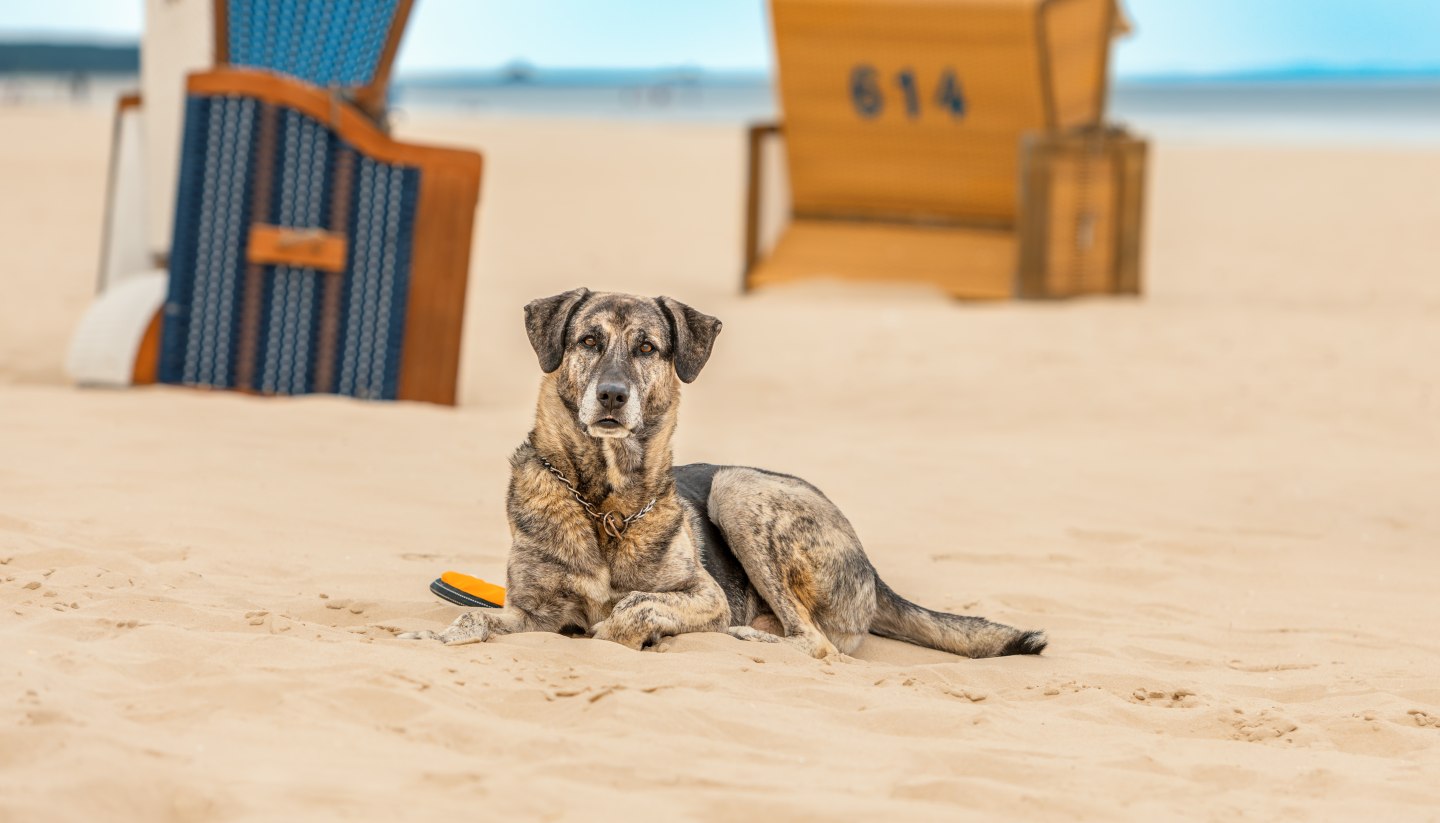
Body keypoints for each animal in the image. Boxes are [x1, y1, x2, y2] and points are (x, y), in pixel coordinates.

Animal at [403, 289, 1048, 656]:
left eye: (647, 348)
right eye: (588, 340)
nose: (611, 396)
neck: (604, 504)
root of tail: (872, 569)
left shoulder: (704, 594)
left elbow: (633, 609)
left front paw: (631, 632)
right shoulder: (530, 612)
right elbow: (473, 618)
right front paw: (434, 635)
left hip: (738, 488)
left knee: (816, 644)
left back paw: (748, 637)